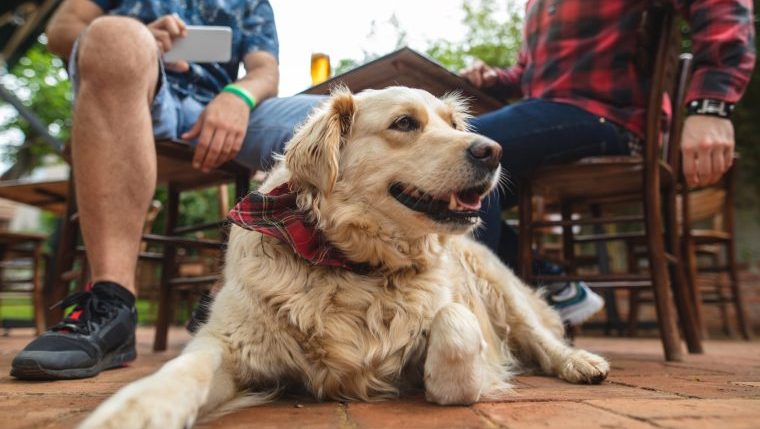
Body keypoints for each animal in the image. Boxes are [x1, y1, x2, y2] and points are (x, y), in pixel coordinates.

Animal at [80, 85, 608, 426]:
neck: (354, 265)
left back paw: (580, 362)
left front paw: (448, 378)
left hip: (501, 290)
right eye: (404, 123)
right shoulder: (229, 342)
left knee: (542, 338)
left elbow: (454, 328)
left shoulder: (458, 316)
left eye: (454, 124)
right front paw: (135, 411)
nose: (494, 151)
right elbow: (180, 372)